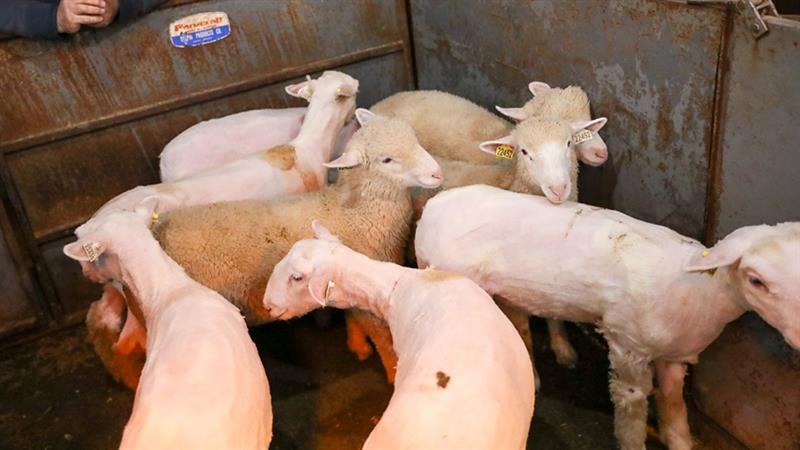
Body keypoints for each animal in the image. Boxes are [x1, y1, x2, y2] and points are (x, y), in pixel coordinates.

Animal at [152, 109, 443, 382]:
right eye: (387, 159)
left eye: (415, 138)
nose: (437, 173)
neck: (355, 211)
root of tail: (157, 227)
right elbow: (382, 336)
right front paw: (392, 371)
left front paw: (356, 345)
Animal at [414, 184, 800, 450]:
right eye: (756, 280)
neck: (699, 289)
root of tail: (434, 207)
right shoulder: (628, 347)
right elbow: (631, 412)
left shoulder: (675, 355)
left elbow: (675, 412)